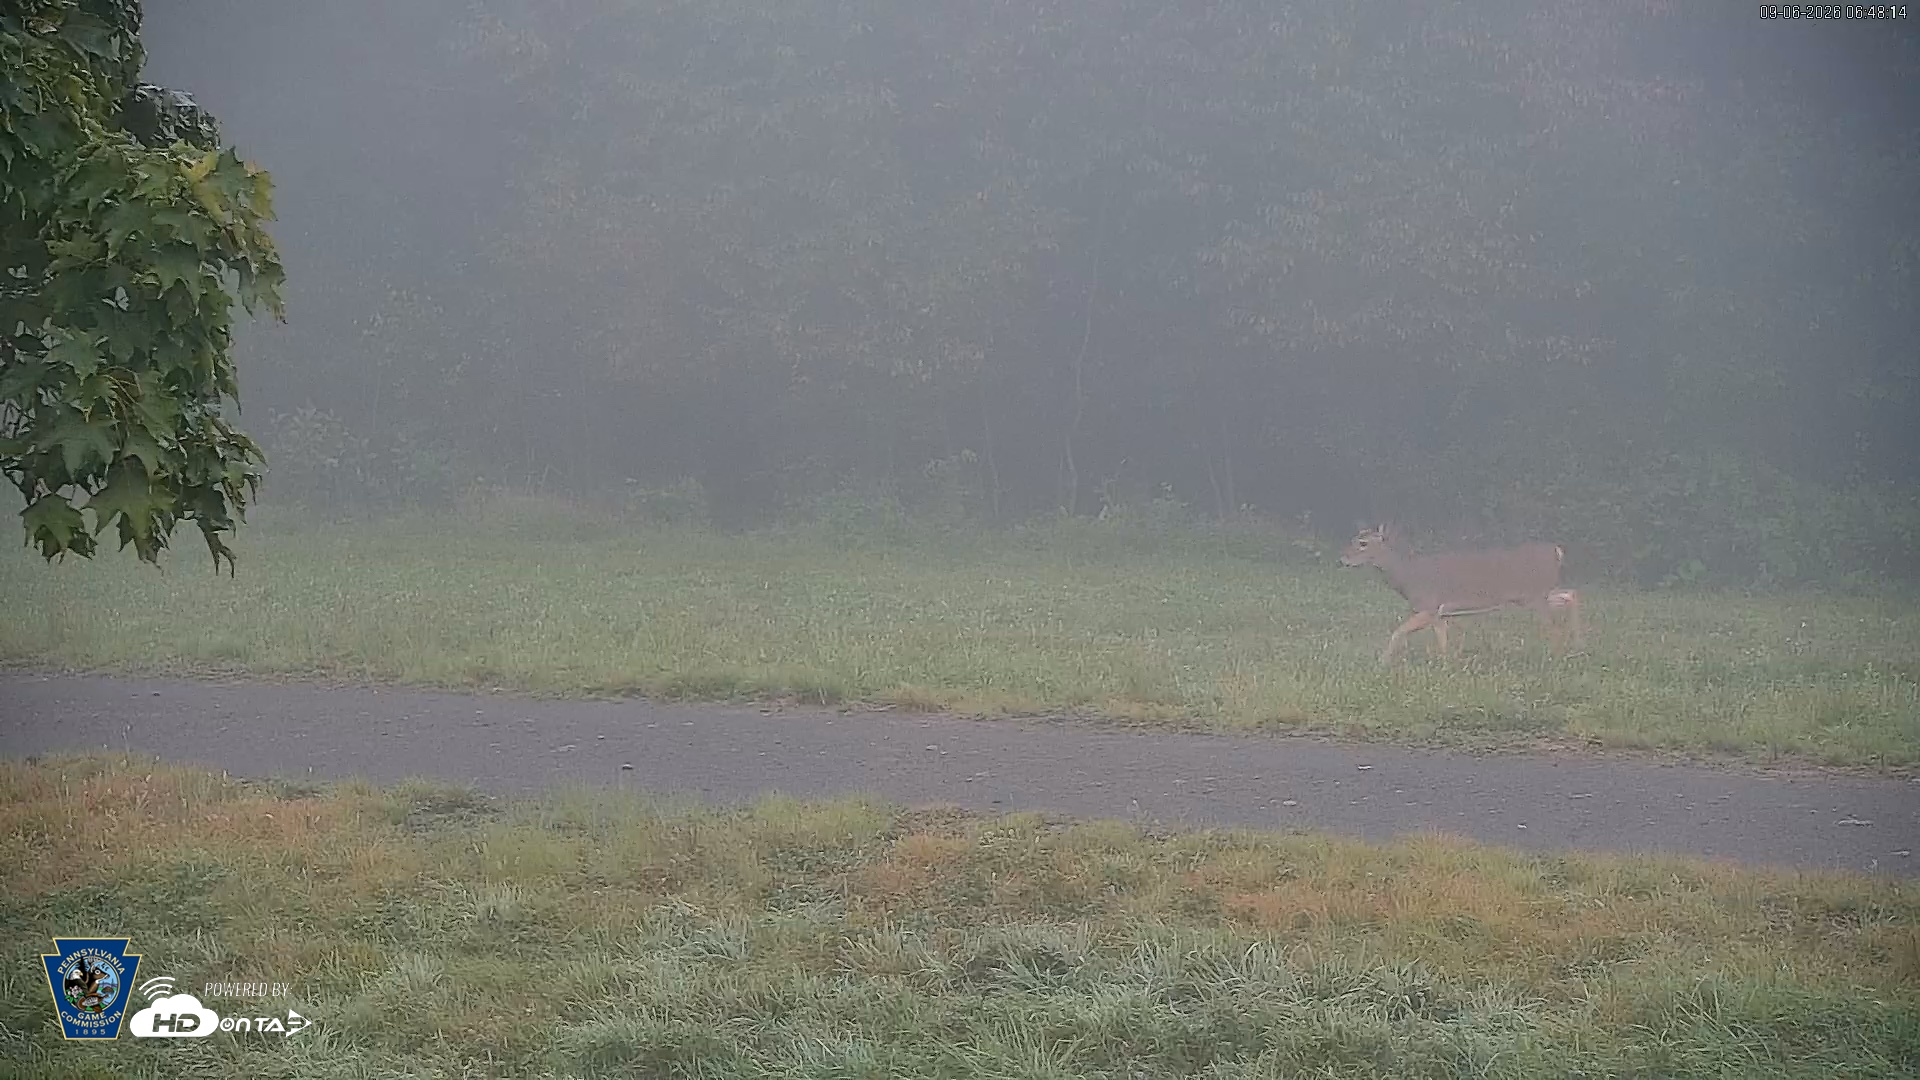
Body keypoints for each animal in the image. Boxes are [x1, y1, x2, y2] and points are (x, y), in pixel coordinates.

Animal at [1338, 524, 1583, 664]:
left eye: (1362, 543)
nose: (1343, 559)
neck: (1407, 576)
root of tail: (1556, 551)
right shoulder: (1439, 614)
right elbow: (1442, 640)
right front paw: (1446, 664)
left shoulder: (1428, 606)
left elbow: (1398, 632)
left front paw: (1382, 662)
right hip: (1538, 594)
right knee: (1571, 595)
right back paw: (1575, 646)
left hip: (1534, 595)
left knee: (1553, 623)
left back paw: (1555, 655)